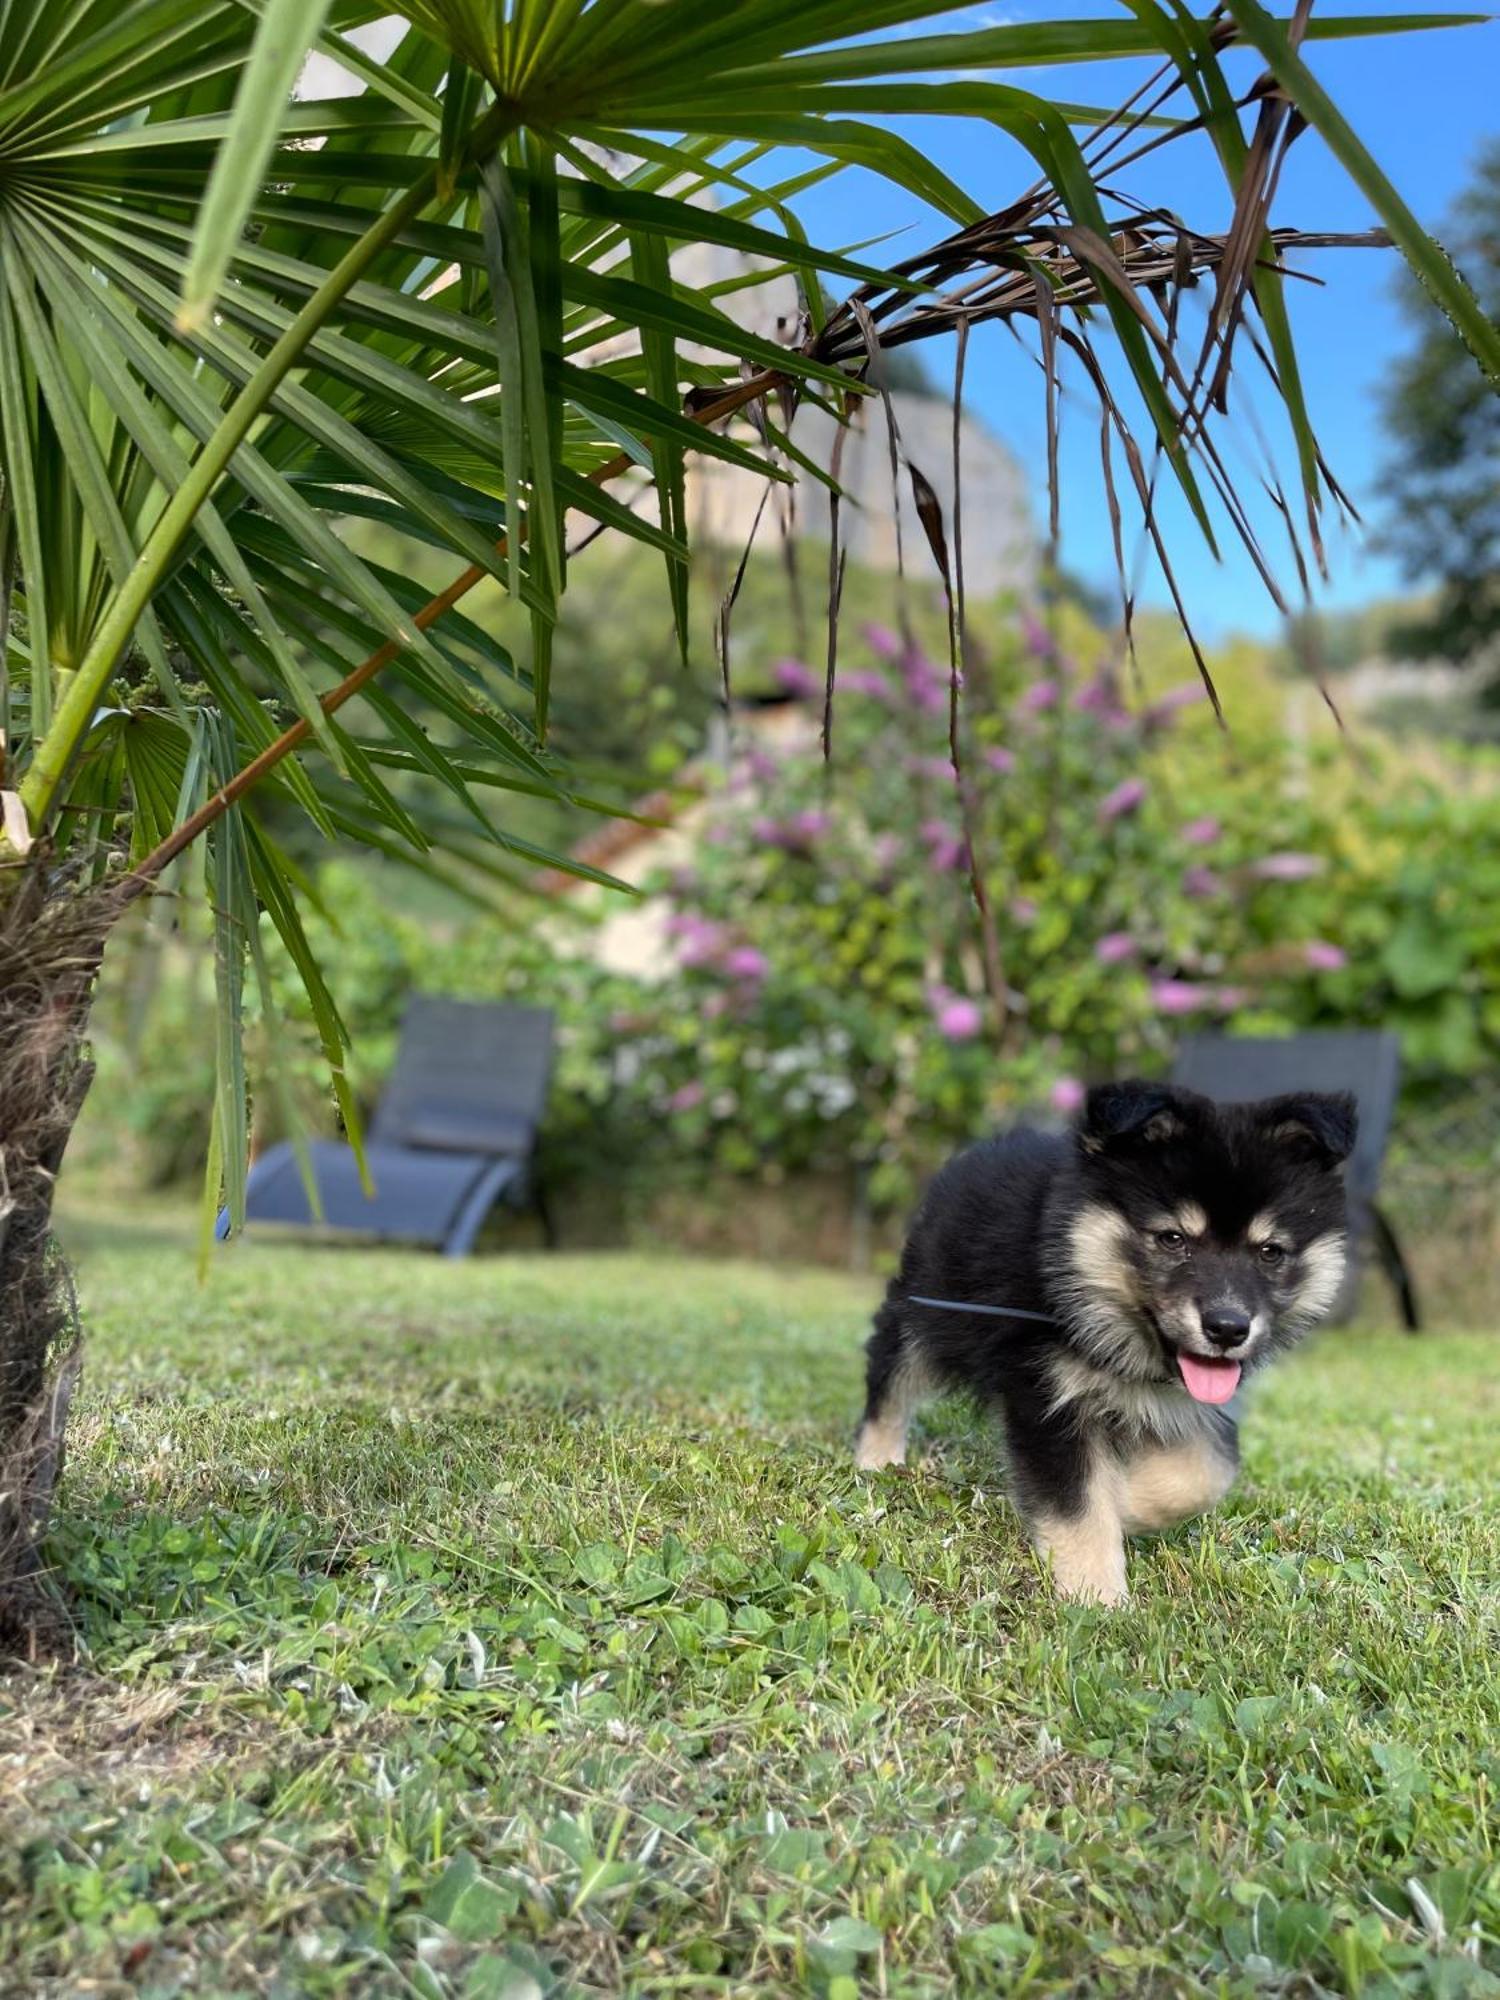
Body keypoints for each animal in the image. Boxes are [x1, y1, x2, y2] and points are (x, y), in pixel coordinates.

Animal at [856, 1080, 1360, 1608]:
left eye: (1270, 1252)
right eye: (1172, 1238)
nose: (1228, 1328)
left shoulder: (1200, 1405)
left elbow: (1208, 1470)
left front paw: (1130, 1505)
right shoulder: (1048, 1394)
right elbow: (1078, 1501)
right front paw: (1095, 1592)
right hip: (924, 1308)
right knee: (890, 1377)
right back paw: (877, 1460)